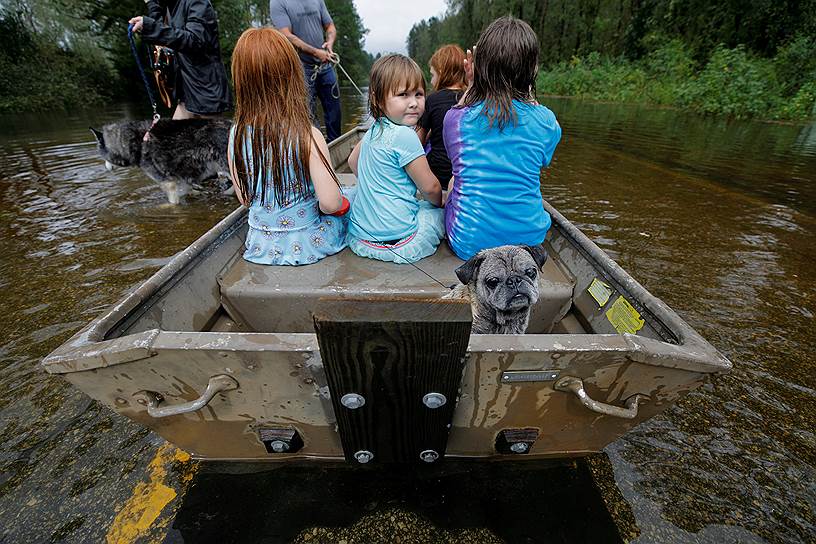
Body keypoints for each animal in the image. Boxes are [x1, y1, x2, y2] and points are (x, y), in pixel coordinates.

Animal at [90, 118, 231, 204]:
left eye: (102, 157)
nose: (106, 168)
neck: (136, 142)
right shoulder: (184, 181)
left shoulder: (167, 182)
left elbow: (173, 203)